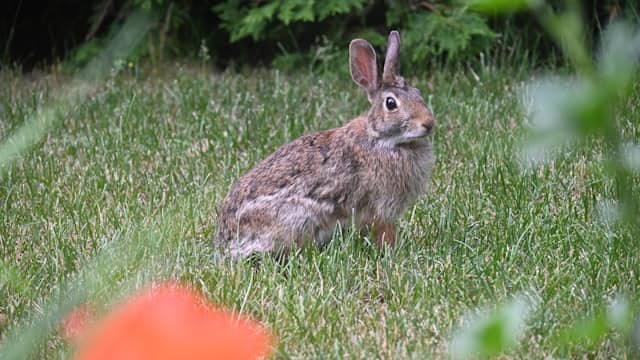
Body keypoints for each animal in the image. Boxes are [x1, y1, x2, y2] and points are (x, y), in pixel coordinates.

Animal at [216, 29, 436, 258]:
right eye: (391, 103)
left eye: (418, 93)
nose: (429, 123)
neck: (380, 139)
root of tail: (227, 243)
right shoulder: (381, 209)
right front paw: (390, 253)